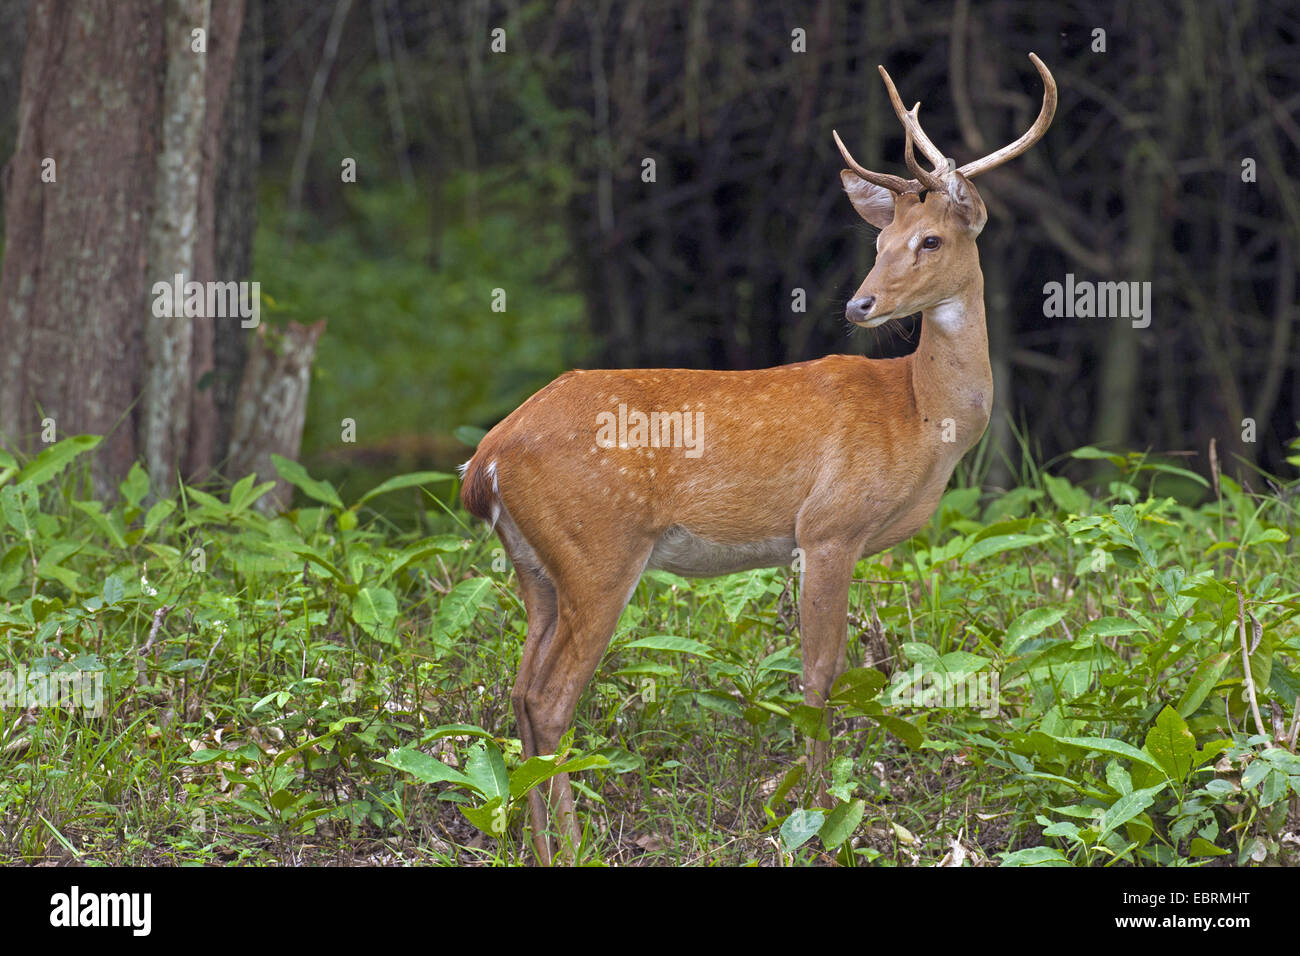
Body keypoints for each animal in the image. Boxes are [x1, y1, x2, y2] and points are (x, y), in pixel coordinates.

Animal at [460, 52, 1055, 863]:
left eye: (929, 241)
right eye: (880, 244)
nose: (860, 305)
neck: (920, 415)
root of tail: (484, 462)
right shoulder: (829, 526)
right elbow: (819, 677)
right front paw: (820, 816)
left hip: (534, 566)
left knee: (519, 690)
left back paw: (536, 844)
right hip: (598, 550)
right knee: (550, 699)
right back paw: (577, 846)